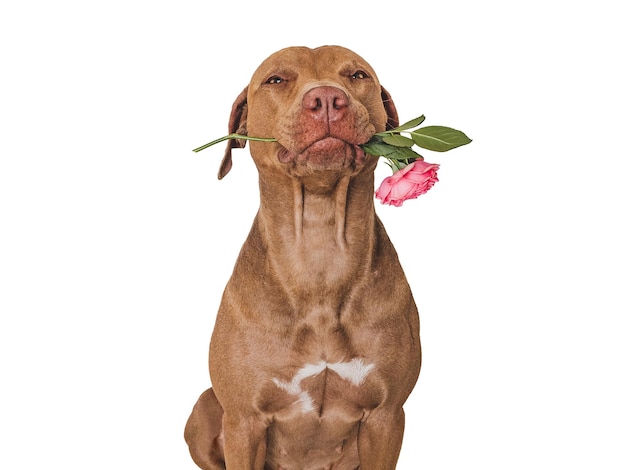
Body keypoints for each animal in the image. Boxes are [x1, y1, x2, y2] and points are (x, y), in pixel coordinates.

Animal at [185, 45, 420, 470]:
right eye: (276, 79)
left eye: (357, 75)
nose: (326, 99)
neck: (318, 251)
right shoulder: (244, 421)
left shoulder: (387, 417)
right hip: (204, 408)